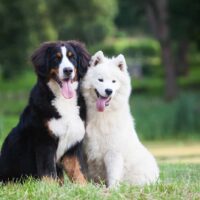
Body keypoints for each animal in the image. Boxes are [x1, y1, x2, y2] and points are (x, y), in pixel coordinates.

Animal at [0, 39, 90, 184]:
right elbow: (48, 173)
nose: (68, 70)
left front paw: (84, 187)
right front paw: (50, 188)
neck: (63, 101)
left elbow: (78, 172)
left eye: (72, 57)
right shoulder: (44, 142)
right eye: (56, 58)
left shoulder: (72, 147)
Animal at [81, 51, 159, 188]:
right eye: (100, 79)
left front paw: (112, 189)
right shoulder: (86, 152)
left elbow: (113, 174)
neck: (102, 115)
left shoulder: (113, 153)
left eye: (114, 81)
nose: (108, 91)